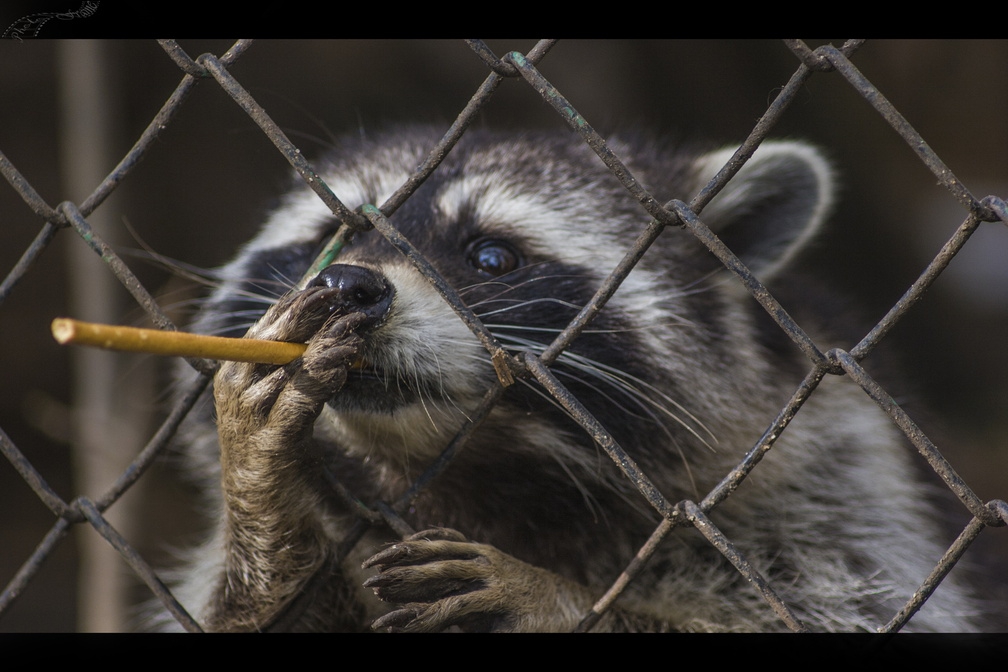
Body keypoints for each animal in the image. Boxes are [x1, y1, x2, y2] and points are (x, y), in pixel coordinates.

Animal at [165, 124, 983, 632]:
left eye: (492, 257)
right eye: (324, 245)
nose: (347, 286)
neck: (489, 473)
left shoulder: (837, 480)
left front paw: (559, 601)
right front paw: (263, 485)